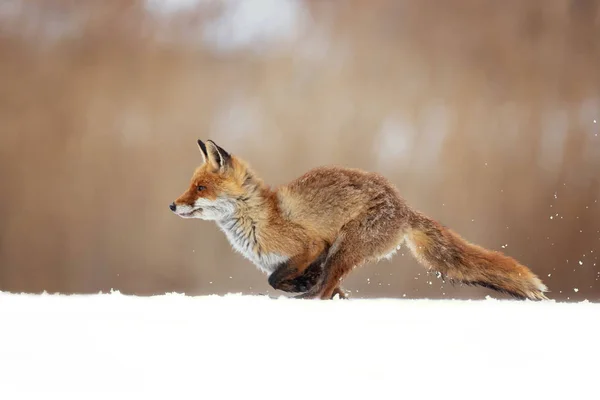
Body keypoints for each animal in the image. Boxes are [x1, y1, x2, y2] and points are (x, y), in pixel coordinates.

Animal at [170, 140, 548, 300]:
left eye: (200, 188)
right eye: (191, 185)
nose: (172, 206)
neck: (258, 219)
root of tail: (404, 206)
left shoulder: (312, 245)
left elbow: (276, 279)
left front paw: (298, 288)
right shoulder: (302, 258)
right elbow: (287, 279)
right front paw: (302, 285)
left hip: (344, 248)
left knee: (325, 290)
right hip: (343, 253)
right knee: (330, 287)